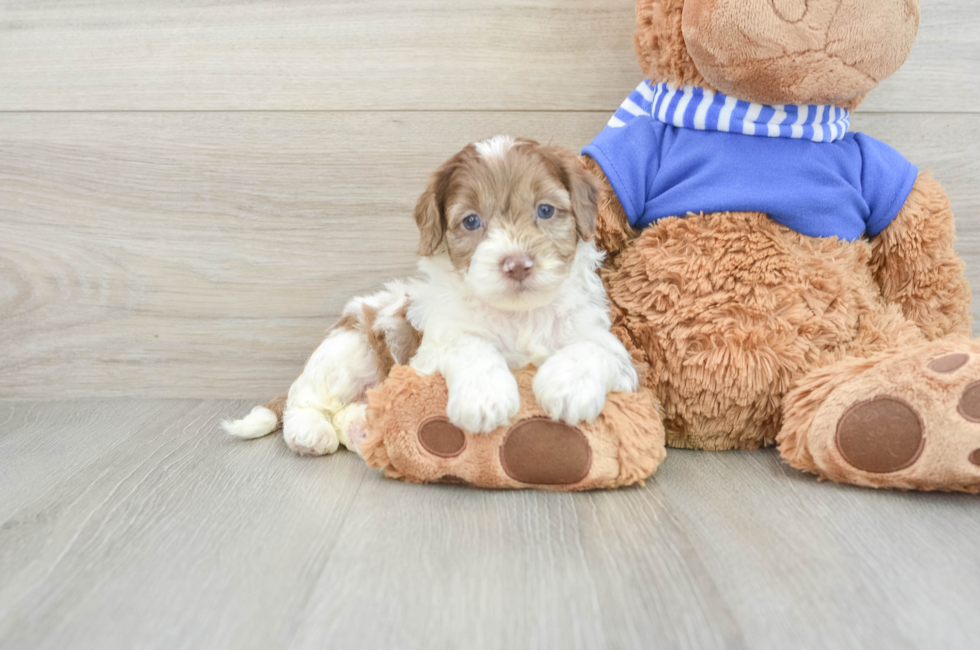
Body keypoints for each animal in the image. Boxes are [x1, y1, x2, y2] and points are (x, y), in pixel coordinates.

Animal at [221, 134, 636, 454]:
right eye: (471, 221)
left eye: (546, 210)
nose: (517, 264)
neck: (517, 314)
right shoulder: (428, 355)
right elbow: (468, 345)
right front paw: (485, 396)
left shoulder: (615, 355)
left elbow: (594, 349)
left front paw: (568, 387)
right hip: (349, 349)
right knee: (305, 400)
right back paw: (310, 433)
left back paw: (360, 429)